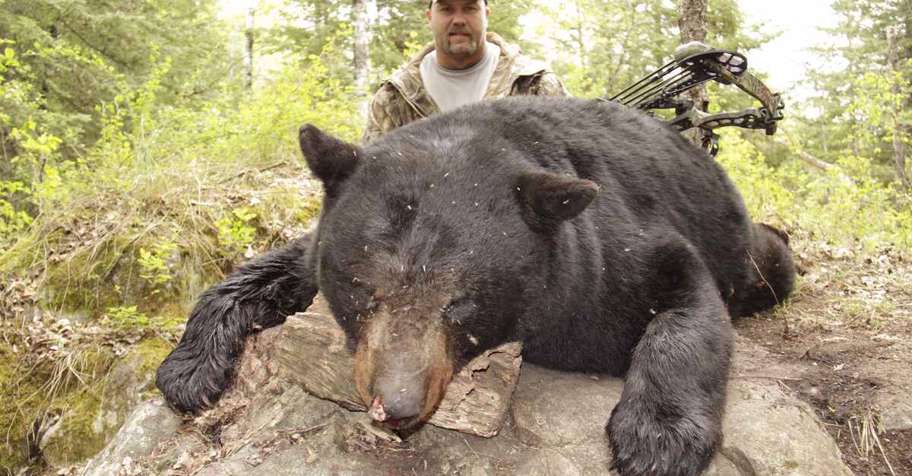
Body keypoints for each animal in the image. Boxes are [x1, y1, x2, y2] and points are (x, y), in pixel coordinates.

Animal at [156, 96, 795, 476]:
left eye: (460, 302)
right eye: (364, 290)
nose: (397, 406)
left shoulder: (617, 250)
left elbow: (687, 301)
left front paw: (658, 438)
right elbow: (281, 264)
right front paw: (189, 368)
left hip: (753, 251)